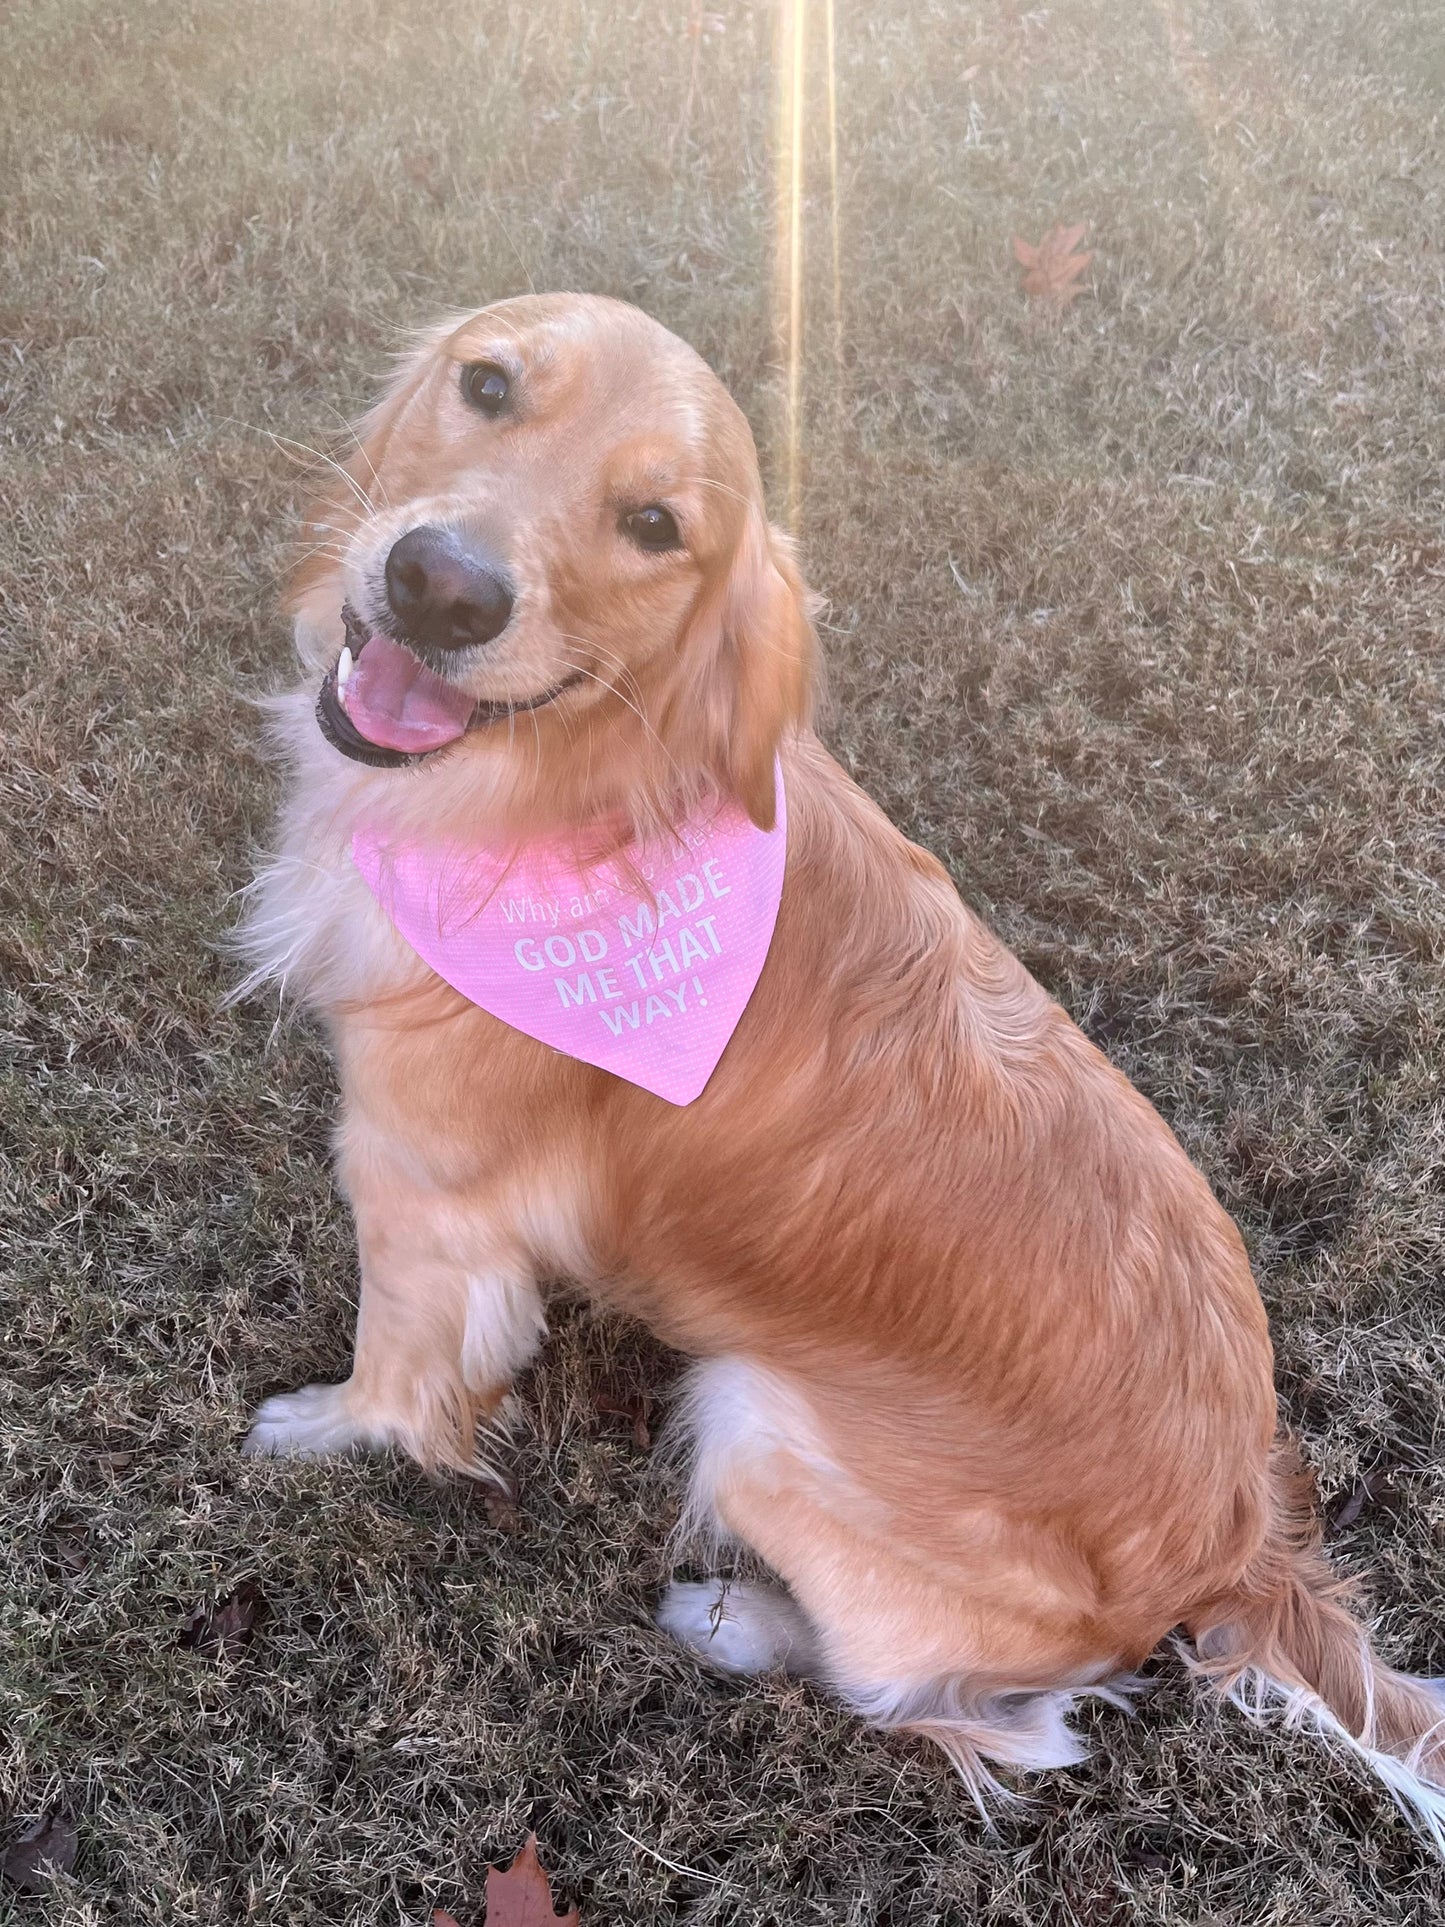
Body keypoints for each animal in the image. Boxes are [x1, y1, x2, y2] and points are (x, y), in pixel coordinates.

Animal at [237, 292, 1445, 1842]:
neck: (577, 790)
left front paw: (322, 1428)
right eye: (487, 384)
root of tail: (1233, 1542)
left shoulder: (418, 1187)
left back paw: (734, 1622)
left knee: (978, 1716)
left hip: (756, 1417)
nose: (441, 585)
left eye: (652, 523)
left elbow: (397, 1366)